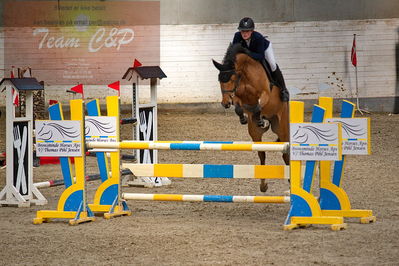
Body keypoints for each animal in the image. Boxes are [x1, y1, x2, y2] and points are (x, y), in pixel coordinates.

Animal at [212, 44, 290, 193]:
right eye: (219, 80)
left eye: (231, 79)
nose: (225, 103)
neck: (244, 75)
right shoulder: (238, 97)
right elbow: (239, 107)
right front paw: (244, 118)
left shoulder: (265, 94)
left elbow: (259, 105)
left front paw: (259, 118)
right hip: (255, 134)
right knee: (262, 154)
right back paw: (263, 185)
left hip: (282, 128)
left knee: (286, 152)